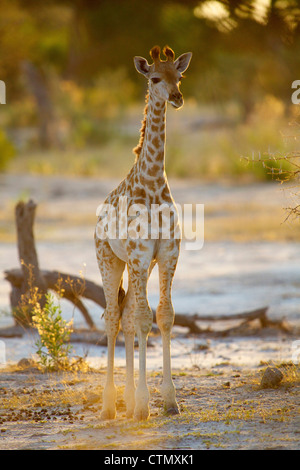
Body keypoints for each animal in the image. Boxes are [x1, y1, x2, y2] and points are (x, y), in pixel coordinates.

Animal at [94, 45, 192, 422]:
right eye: (154, 78)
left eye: (179, 76)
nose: (177, 97)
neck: (151, 180)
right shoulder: (137, 254)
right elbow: (143, 317)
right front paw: (144, 405)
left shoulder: (166, 253)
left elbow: (163, 315)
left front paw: (168, 401)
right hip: (109, 259)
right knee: (113, 318)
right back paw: (109, 405)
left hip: (140, 266)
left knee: (125, 317)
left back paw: (126, 399)